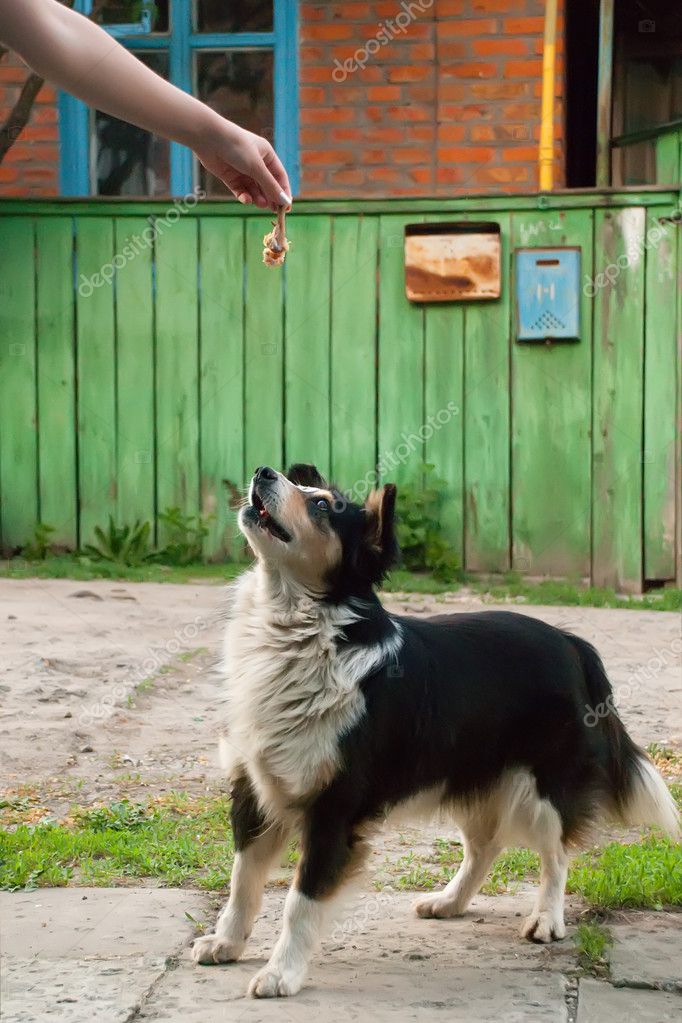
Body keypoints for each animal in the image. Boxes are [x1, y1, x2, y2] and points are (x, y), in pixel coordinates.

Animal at [193, 464, 682, 998]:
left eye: (322, 506)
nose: (262, 471)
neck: (300, 631)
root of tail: (573, 644)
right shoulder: (253, 788)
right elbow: (242, 880)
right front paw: (227, 942)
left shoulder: (333, 809)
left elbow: (300, 902)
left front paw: (282, 973)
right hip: (472, 777)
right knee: (485, 847)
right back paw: (450, 902)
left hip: (544, 789)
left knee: (555, 854)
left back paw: (546, 919)